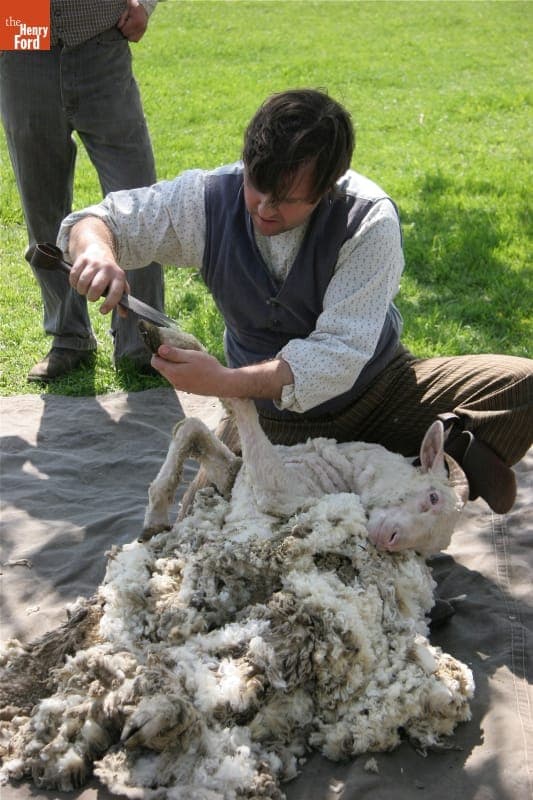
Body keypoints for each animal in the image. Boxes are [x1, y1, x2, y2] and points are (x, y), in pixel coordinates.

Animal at [0, 325, 474, 800]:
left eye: (428, 548)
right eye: (433, 497)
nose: (389, 542)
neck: (346, 469)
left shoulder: (282, 493)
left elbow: (239, 402)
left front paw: (186, 354)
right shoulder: (236, 478)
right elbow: (194, 426)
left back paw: (152, 716)